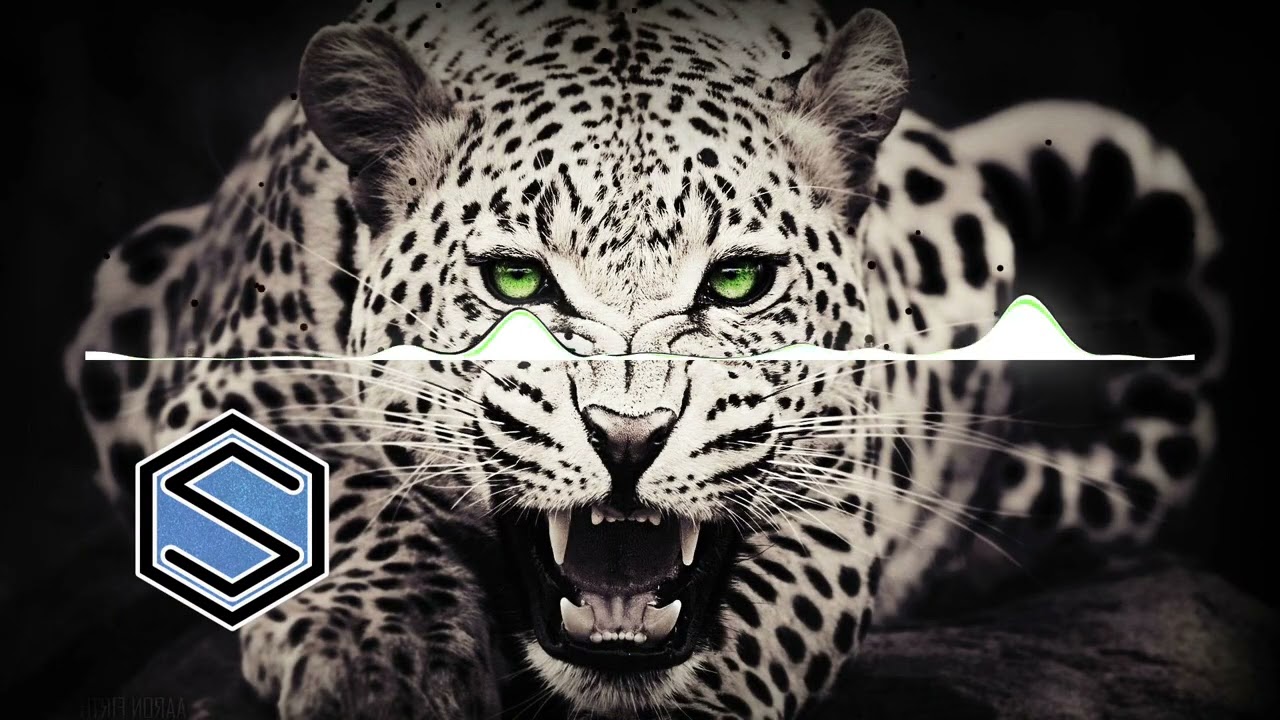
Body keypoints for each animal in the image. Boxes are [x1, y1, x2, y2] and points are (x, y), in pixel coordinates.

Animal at [63, 0, 1229, 718]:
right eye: (516, 283)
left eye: (739, 282)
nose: (628, 437)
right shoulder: (230, 372)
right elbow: (324, 495)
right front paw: (379, 662)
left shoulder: (848, 466)